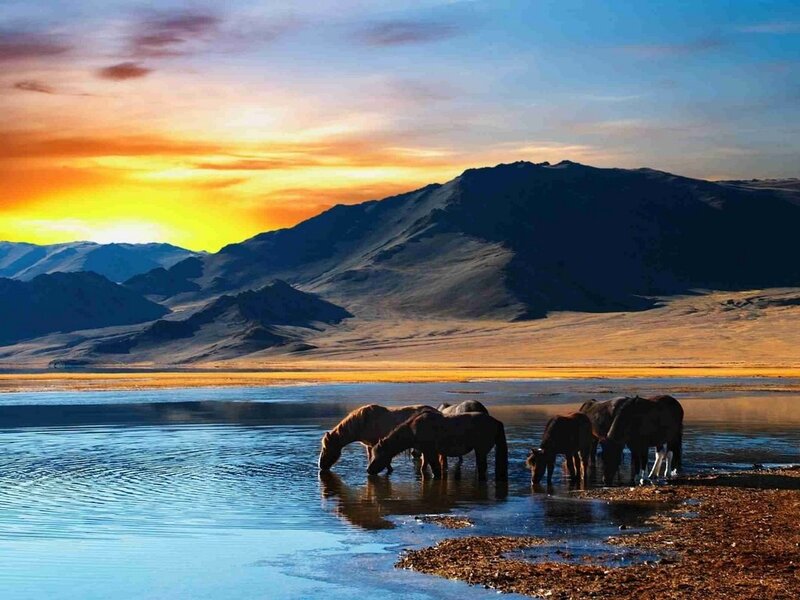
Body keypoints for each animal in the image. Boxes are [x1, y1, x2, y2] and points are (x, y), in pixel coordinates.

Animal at [367, 411, 508, 481]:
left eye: (380, 454)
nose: (368, 470)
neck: (413, 430)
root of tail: (496, 422)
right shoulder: (425, 452)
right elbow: (424, 468)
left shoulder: (431, 452)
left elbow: (436, 470)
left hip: (480, 451)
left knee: (482, 468)